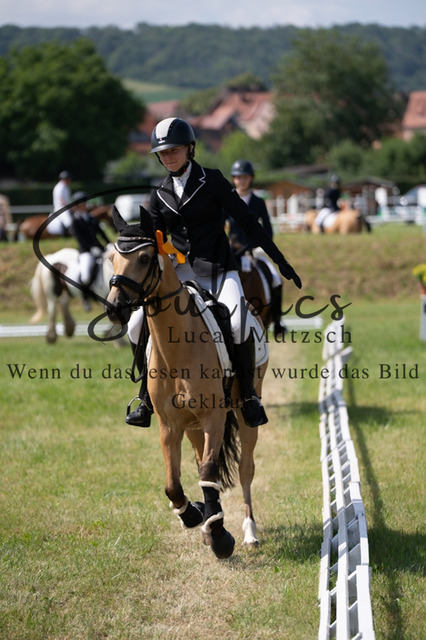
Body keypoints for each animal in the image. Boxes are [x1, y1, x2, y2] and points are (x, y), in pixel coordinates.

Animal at [105, 207, 269, 559]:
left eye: (144, 258)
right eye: (112, 258)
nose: (114, 308)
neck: (178, 347)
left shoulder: (214, 417)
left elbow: (209, 473)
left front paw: (220, 537)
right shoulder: (170, 424)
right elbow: (174, 483)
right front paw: (194, 515)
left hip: (242, 412)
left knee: (246, 468)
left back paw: (249, 530)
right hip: (193, 427)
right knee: (199, 462)